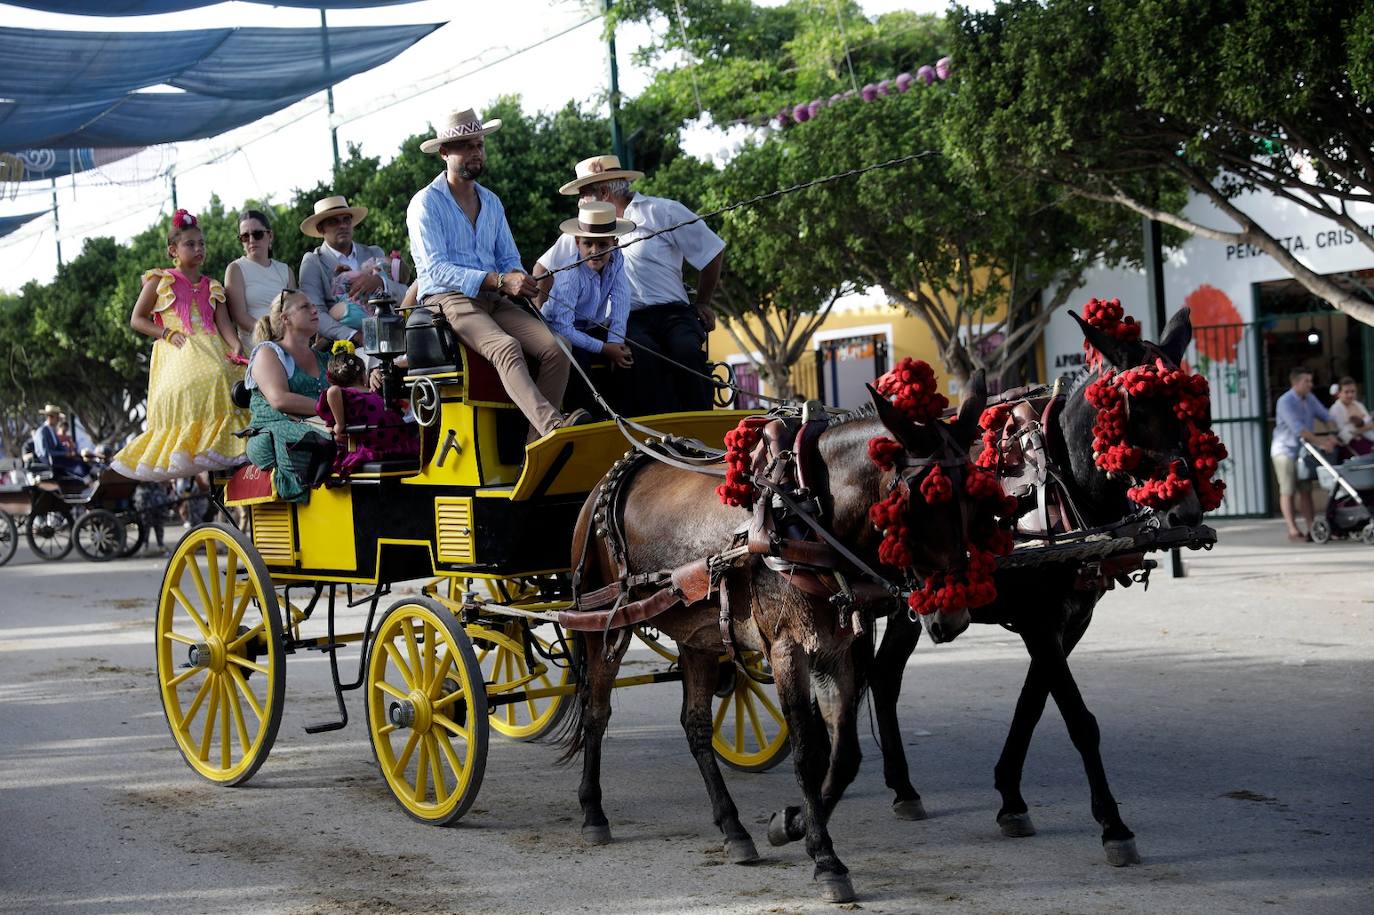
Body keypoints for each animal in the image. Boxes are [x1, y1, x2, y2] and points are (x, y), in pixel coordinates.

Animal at [557, 370, 989, 895]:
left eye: (976, 496)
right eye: (924, 498)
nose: (953, 617)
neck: (809, 512)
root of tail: (606, 482)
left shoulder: (839, 648)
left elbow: (843, 755)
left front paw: (791, 824)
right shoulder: (787, 649)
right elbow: (808, 753)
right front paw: (826, 858)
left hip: (699, 634)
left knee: (695, 726)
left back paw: (733, 828)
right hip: (602, 622)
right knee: (596, 711)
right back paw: (593, 811)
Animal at [868, 306, 1203, 862]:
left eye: (1188, 410)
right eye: (1136, 410)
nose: (1186, 511)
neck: (1059, 485)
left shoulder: (1069, 624)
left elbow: (1032, 704)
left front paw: (1010, 798)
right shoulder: (1038, 622)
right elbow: (1077, 719)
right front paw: (1114, 826)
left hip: (912, 605)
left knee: (883, 675)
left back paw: (902, 786)